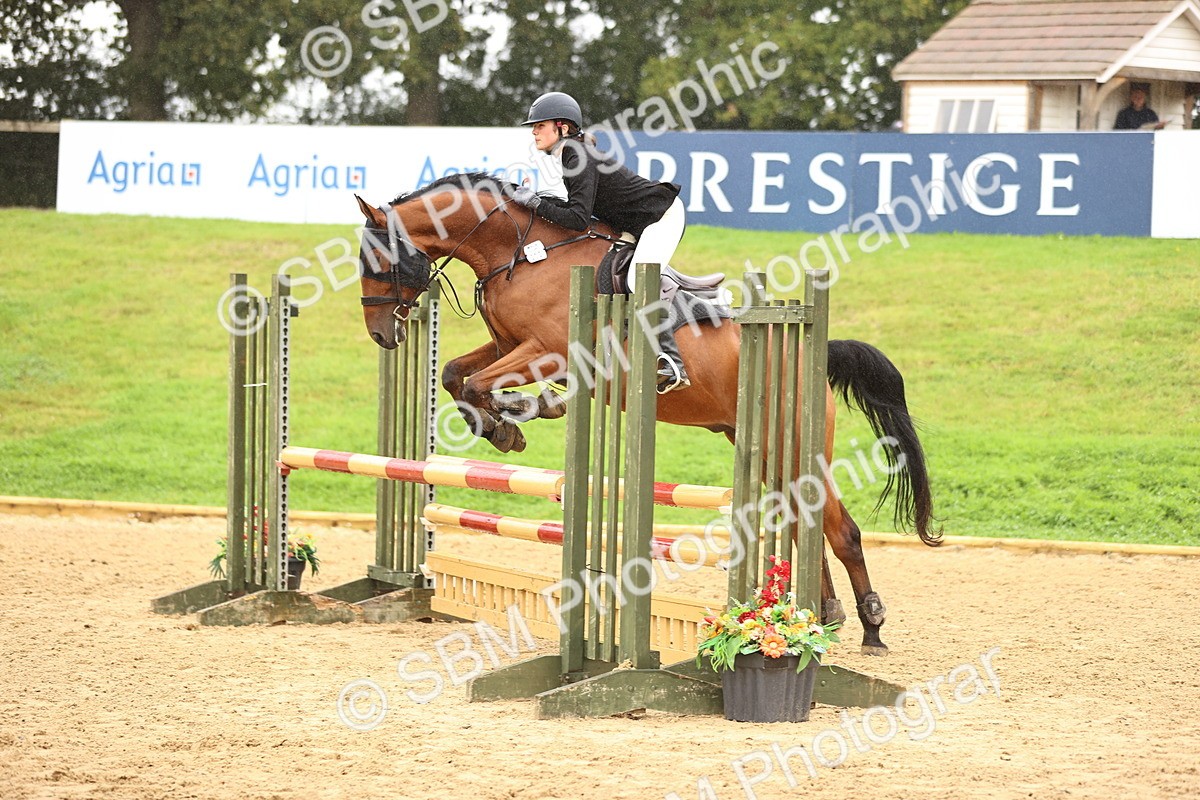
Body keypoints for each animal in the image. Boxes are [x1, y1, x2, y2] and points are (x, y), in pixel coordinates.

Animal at [353, 172, 939, 655]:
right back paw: (823, 616)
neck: (521, 252)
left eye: (376, 262)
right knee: (805, 524)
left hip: (794, 446)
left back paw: (869, 626)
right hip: (762, 447)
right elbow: (457, 375)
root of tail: (809, 351)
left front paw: (518, 415)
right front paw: (504, 425)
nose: (382, 335)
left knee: (840, 531)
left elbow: (477, 383)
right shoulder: (506, 345)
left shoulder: (548, 351)